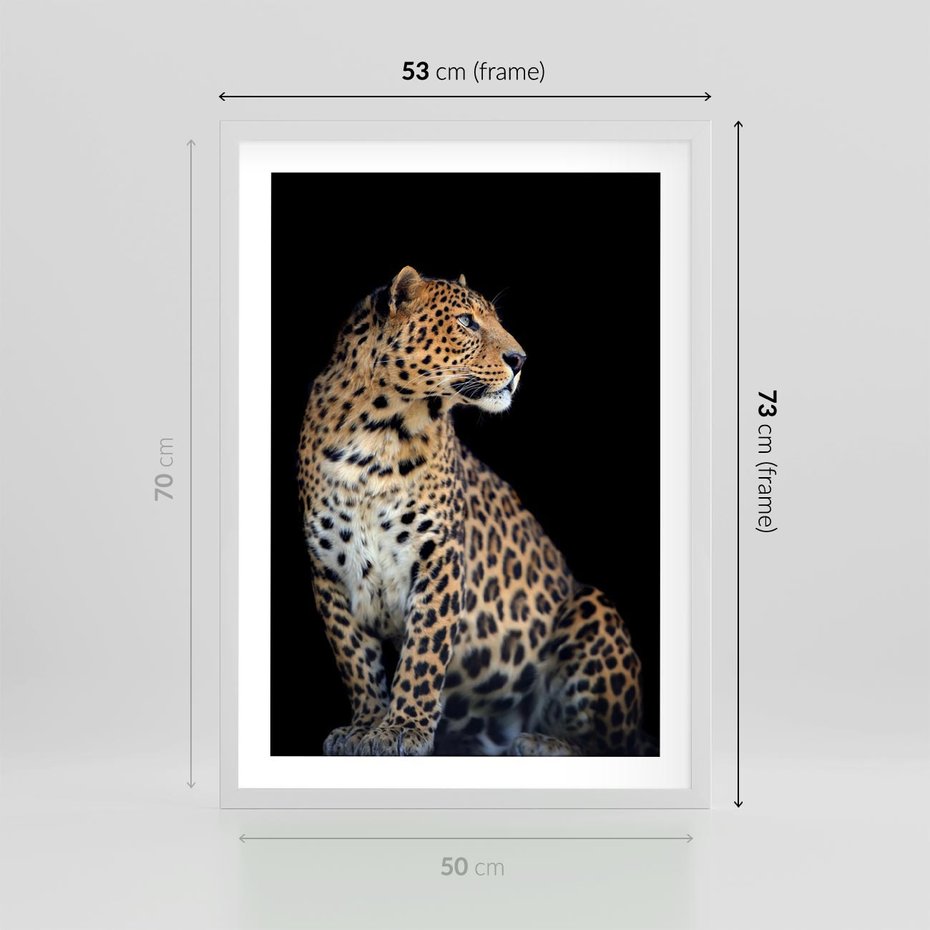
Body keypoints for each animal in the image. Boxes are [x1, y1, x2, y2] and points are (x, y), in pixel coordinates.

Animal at [298, 266, 651, 756]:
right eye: (466, 322)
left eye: (495, 320)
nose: (520, 359)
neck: (377, 434)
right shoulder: (329, 568)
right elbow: (355, 659)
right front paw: (365, 726)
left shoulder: (439, 556)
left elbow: (423, 653)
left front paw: (401, 730)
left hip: (592, 608)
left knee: (613, 743)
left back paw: (543, 743)